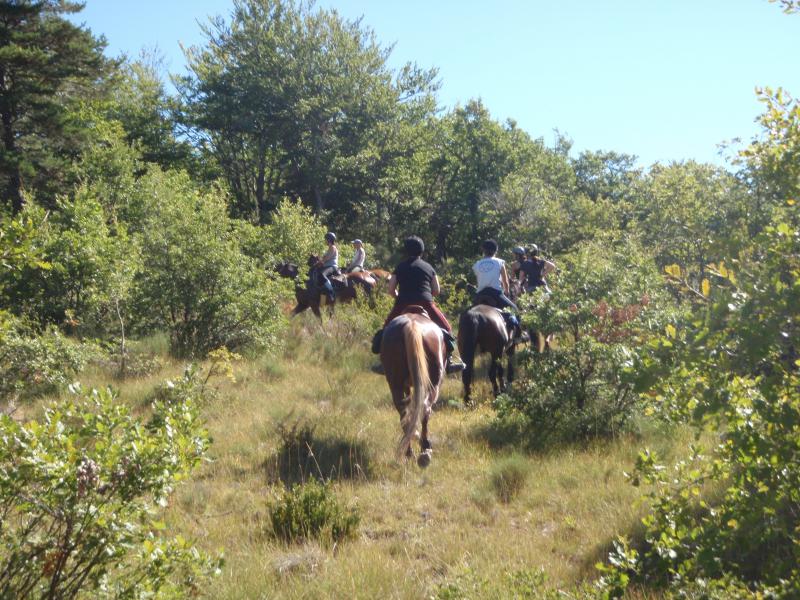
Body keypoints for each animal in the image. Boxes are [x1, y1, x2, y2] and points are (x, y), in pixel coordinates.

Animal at [380, 308, 446, 466]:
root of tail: (412, 324)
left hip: (396, 383)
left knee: (404, 412)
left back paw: (411, 450)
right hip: (433, 384)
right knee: (424, 408)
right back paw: (423, 450)